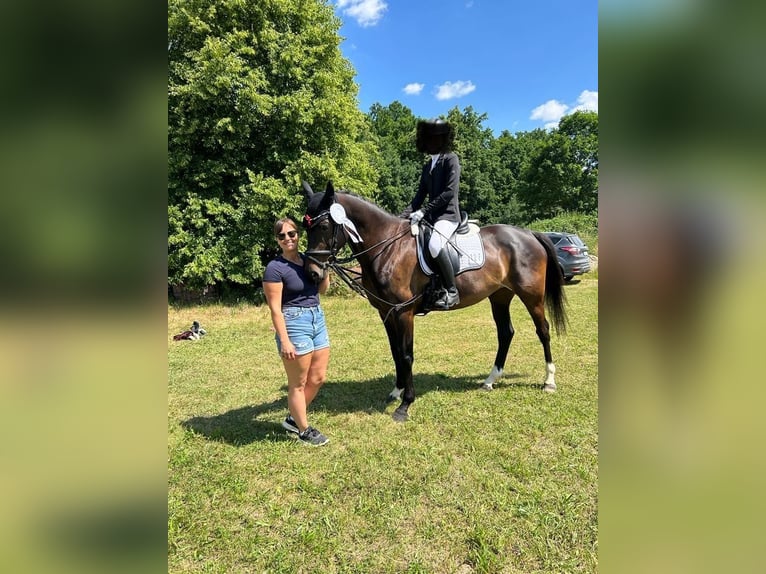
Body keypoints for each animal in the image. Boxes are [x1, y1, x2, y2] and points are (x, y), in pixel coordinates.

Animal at [301, 181, 567, 422]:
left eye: (324, 225)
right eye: (305, 226)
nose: (312, 273)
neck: (387, 247)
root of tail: (527, 233)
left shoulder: (403, 312)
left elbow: (407, 355)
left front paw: (405, 405)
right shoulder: (386, 312)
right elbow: (396, 352)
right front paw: (396, 391)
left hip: (531, 296)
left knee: (543, 330)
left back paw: (549, 381)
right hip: (499, 296)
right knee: (506, 333)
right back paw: (490, 381)